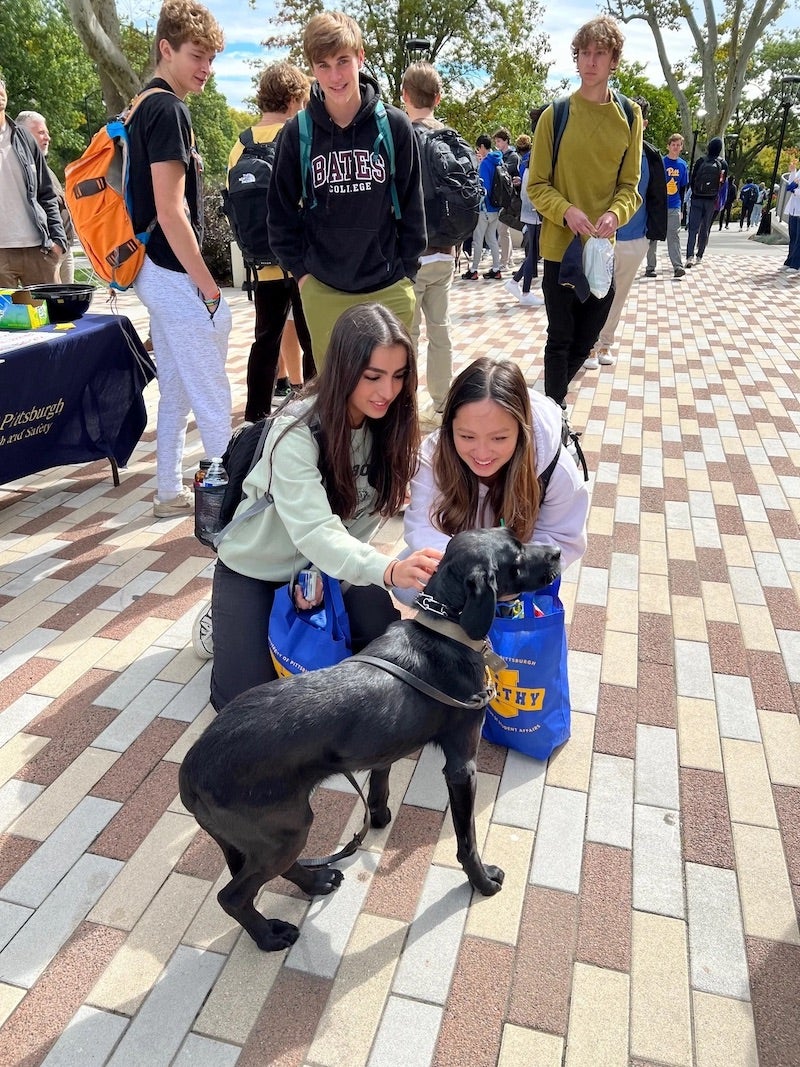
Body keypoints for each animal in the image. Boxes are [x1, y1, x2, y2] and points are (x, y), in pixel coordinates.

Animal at [179, 529, 558, 956]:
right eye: (517, 557)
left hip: (275, 834)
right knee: (232, 896)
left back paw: (316, 881)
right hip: (283, 830)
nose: (558, 552)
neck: (444, 628)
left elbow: (380, 781)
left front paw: (377, 817)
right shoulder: (462, 766)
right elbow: (467, 841)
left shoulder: (385, 744)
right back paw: (268, 935)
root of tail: (189, 773)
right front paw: (483, 880)